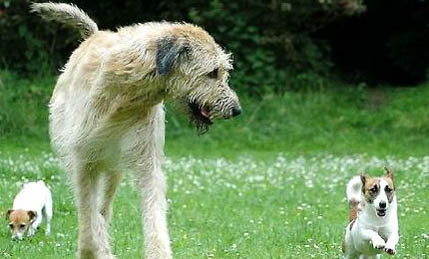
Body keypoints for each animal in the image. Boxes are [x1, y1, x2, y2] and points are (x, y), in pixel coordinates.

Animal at [30, 2, 241, 259]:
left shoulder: (146, 160)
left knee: (104, 208)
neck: (125, 98)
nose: (236, 109)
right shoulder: (82, 162)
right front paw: (92, 250)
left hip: (113, 169)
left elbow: (152, 211)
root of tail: (93, 34)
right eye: (212, 72)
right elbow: (88, 217)